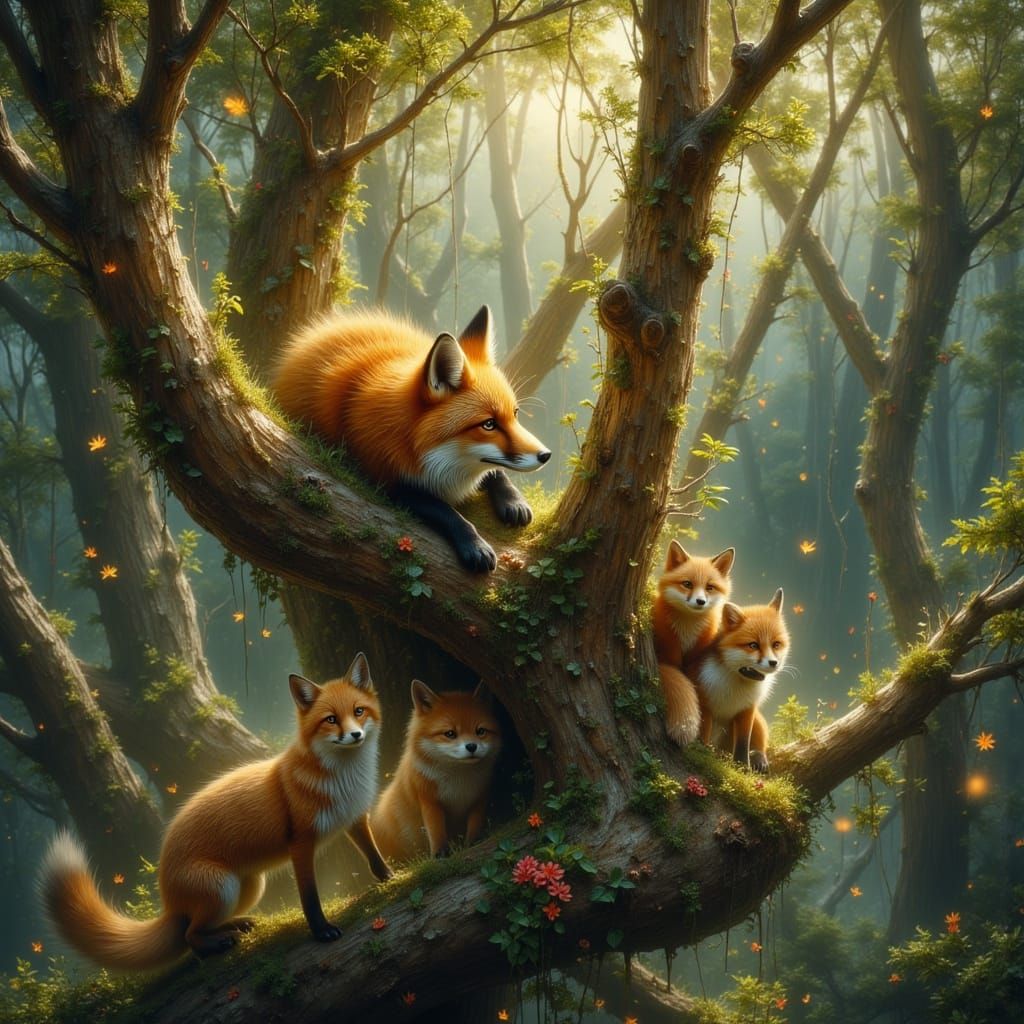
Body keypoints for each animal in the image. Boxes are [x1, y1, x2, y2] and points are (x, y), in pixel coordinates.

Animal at [39, 654, 393, 969]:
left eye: (359, 711)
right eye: (331, 719)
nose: (355, 735)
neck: (342, 778)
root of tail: (167, 898)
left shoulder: (354, 818)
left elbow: (374, 855)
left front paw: (392, 877)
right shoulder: (301, 843)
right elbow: (310, 897)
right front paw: (321, 931)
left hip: (249, 888)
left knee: (195, 928)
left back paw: (236, 926)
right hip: (222, 888)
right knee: (188, 937)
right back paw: (217, 944)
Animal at [272, 306, 551, 573]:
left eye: (515, 414)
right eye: (489, 424)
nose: (546, 455)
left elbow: (495, 472)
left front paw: (513, 500)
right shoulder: (385, 480)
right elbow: (445, 510)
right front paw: (474, 544)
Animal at [370, 681, 502, 862]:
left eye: (480, 731)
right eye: (450, 733)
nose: (471, 746)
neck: (459, 781)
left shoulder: (480, 798)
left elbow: (475, 825)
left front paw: (472, 843)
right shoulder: (429, 800)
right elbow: (436, 831)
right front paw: (439, 854)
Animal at [652, 541, 735, 746]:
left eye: (710, 587)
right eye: (687, 584)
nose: (700, 601)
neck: (687, 632)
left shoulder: (697, 657)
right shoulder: (667, 654)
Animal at [686, 588, 790, 773]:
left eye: (776, 644)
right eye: (753, 645)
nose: (773, 663)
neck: (735, 689)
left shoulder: (747, 709)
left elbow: (743, 742)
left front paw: (742, 766)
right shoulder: (705, 705)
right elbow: (703, 735)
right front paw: (703, 753)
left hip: (758, 721)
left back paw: (758, 758)